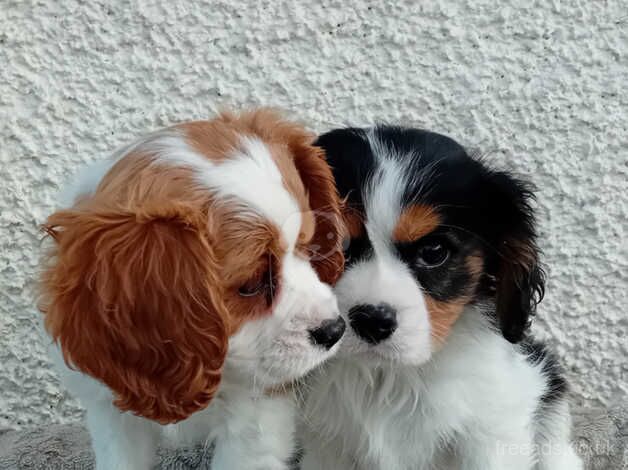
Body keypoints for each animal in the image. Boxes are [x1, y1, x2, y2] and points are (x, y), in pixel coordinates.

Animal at [300, 126, 584, 470]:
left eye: (434, 252)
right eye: (327, 246)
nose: (372, 320)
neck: (389, 377)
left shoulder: (492, 433)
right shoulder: (323, 446)